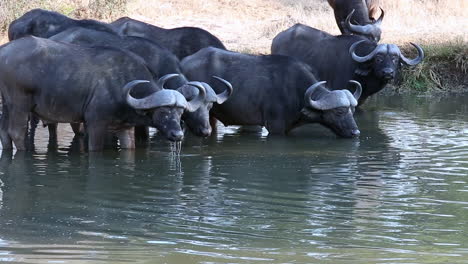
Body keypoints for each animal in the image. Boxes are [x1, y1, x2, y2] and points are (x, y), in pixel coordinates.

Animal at [0, 36, 207, 151]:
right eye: (163, 112)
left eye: (180, 113)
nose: (177, 135)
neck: (121, 85)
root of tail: (4, 51)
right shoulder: (95, 124)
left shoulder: (125, 128)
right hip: (19, 104)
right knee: (16, 132)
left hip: (6, 104)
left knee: (4, 133)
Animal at [182, 47, 362, 138]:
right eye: (339, 111)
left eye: (352, 110)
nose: (356, 132)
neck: (297, 91)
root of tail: (185, 61)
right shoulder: (275, 127)